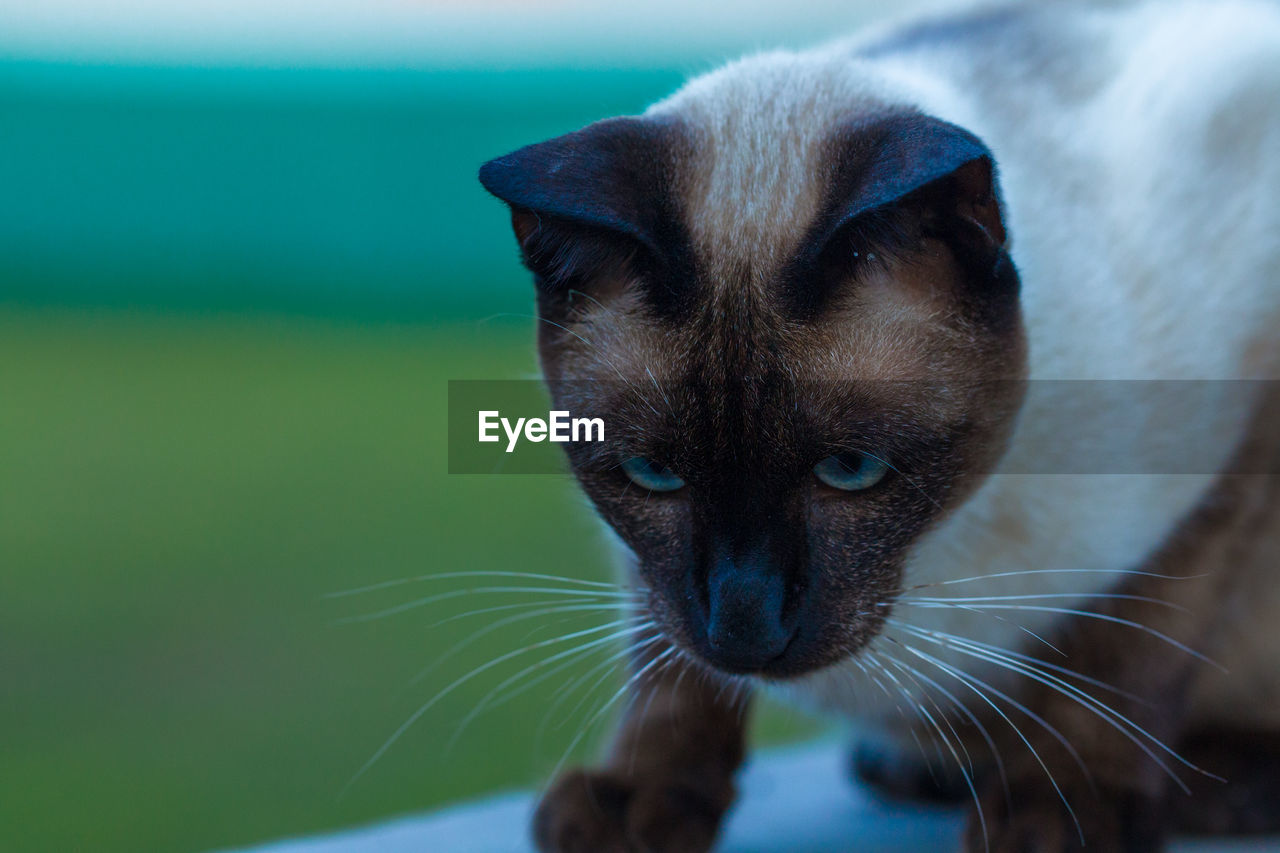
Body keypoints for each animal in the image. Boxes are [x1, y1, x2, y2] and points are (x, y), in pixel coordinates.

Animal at [476, 1, 1274, 850]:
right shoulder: (660, 583)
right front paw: (636, 800)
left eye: (851, 468)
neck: (930, 550)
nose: (745, 628)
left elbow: (1125, 652)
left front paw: (1057, 811)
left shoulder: (1228, 457)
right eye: (654, 474)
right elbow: (670, 669)